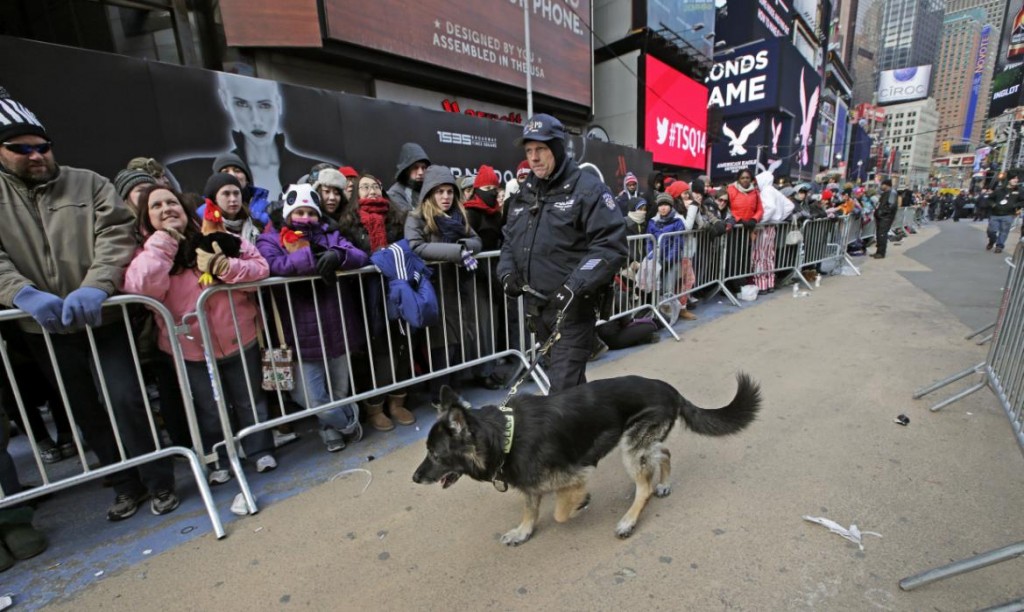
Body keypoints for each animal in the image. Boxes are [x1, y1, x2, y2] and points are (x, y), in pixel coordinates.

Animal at [409, 374, 761, 548]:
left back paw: (630, 517)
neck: (505, 436)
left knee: (644, 482)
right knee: (663, 453)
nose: (414, 478)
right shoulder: (531, 484)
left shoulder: (575, 475)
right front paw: (523, 532)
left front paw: (580, 503)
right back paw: (661, 484)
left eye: (435, 454)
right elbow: (531, 510)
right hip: (639, 444)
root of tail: (671, 390)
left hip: (631, 447)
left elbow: (561, 512)